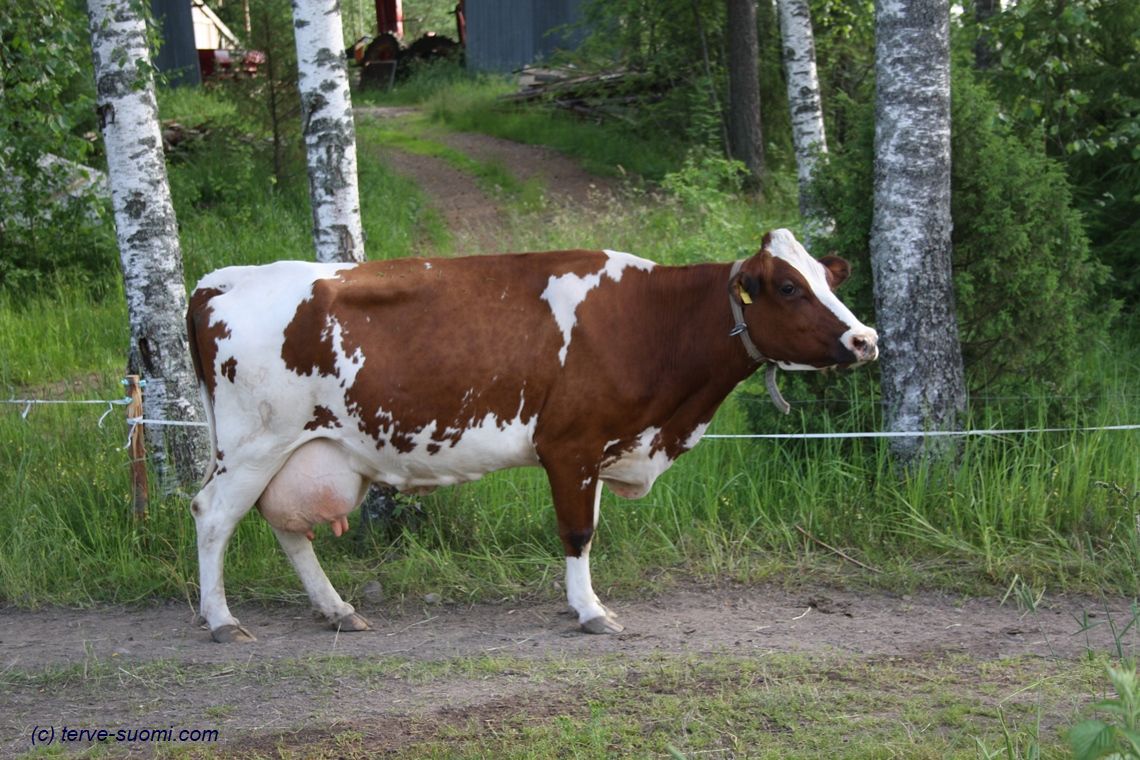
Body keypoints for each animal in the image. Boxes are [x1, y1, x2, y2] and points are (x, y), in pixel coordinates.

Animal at [189, 227, 880, 642]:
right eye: (788, 286)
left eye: (828, 279)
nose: (865, 339)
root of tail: (222, 279)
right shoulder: (570, 446)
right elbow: (577, 532)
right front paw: (591, 611)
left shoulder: (599, 448)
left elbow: (587, 530)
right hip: (253, 446)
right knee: (213, 514)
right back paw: (221, 620)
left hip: (298, 450)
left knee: (285, 525)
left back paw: (336, 608)